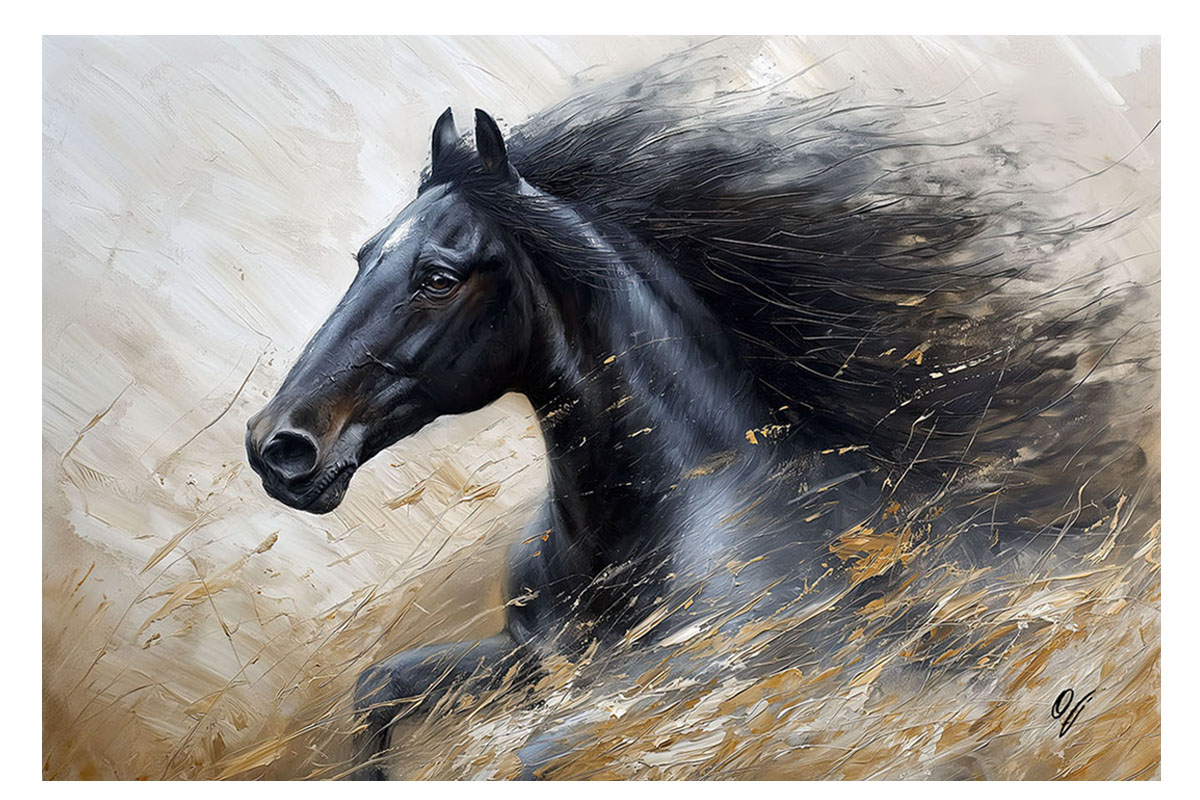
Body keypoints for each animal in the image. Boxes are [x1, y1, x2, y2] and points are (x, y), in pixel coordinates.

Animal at [246, 70, 1150, 778]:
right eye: (364, 257)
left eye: (438, 276)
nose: (278, 448)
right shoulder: (530, 664)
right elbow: (378, 688)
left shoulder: (696, 704)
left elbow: (533, 757)